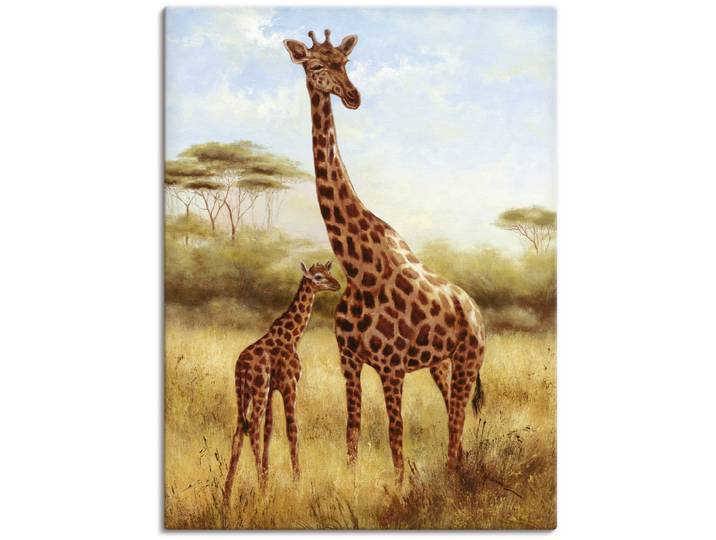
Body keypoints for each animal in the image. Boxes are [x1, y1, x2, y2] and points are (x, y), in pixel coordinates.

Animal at [223, 261, 340, 505]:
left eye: (329, 272)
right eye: (318, 277)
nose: (337, 284)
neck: (293, 336)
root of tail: (241, 367)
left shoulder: (272, 390)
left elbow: (269, 431)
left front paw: (268, 480)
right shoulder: (289, 384)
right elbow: (292, 430)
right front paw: (297, 484)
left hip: (243, 393)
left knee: (239, 434)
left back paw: (227, 496)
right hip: (257, 389)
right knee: (253, 429)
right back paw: (261, 493)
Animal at [283, 30, 486, 481]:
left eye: (344, 62)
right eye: (316, 65)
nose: (353, 96)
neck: (358, 268)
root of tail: (475, 310)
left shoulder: (392, 365)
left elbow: (396, 432)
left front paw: (399, 486)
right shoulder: (349, 360)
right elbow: (353, 427)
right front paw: (352, 479)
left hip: (468, 358)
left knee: (457, 419)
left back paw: (452, 476)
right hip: (440, 364)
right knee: (454, 415)